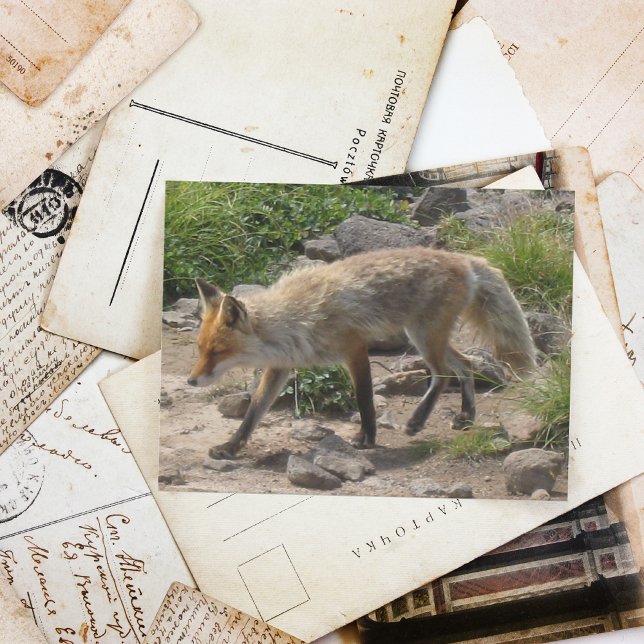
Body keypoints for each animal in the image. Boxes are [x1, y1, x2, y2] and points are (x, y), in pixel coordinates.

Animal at [187, 247, 536, 459]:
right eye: (201, 349)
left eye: (217, 351)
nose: (190, 381)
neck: (294, 319)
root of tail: (462, 258)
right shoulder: (281, 366)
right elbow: (253, 412)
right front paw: (231, 447)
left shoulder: (354, 347)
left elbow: (365, 398)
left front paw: (366, 438)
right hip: (427, 336)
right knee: (465, 364)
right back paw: (466, 415)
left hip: (423, 336)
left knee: (443, 374)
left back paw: (417, 420)